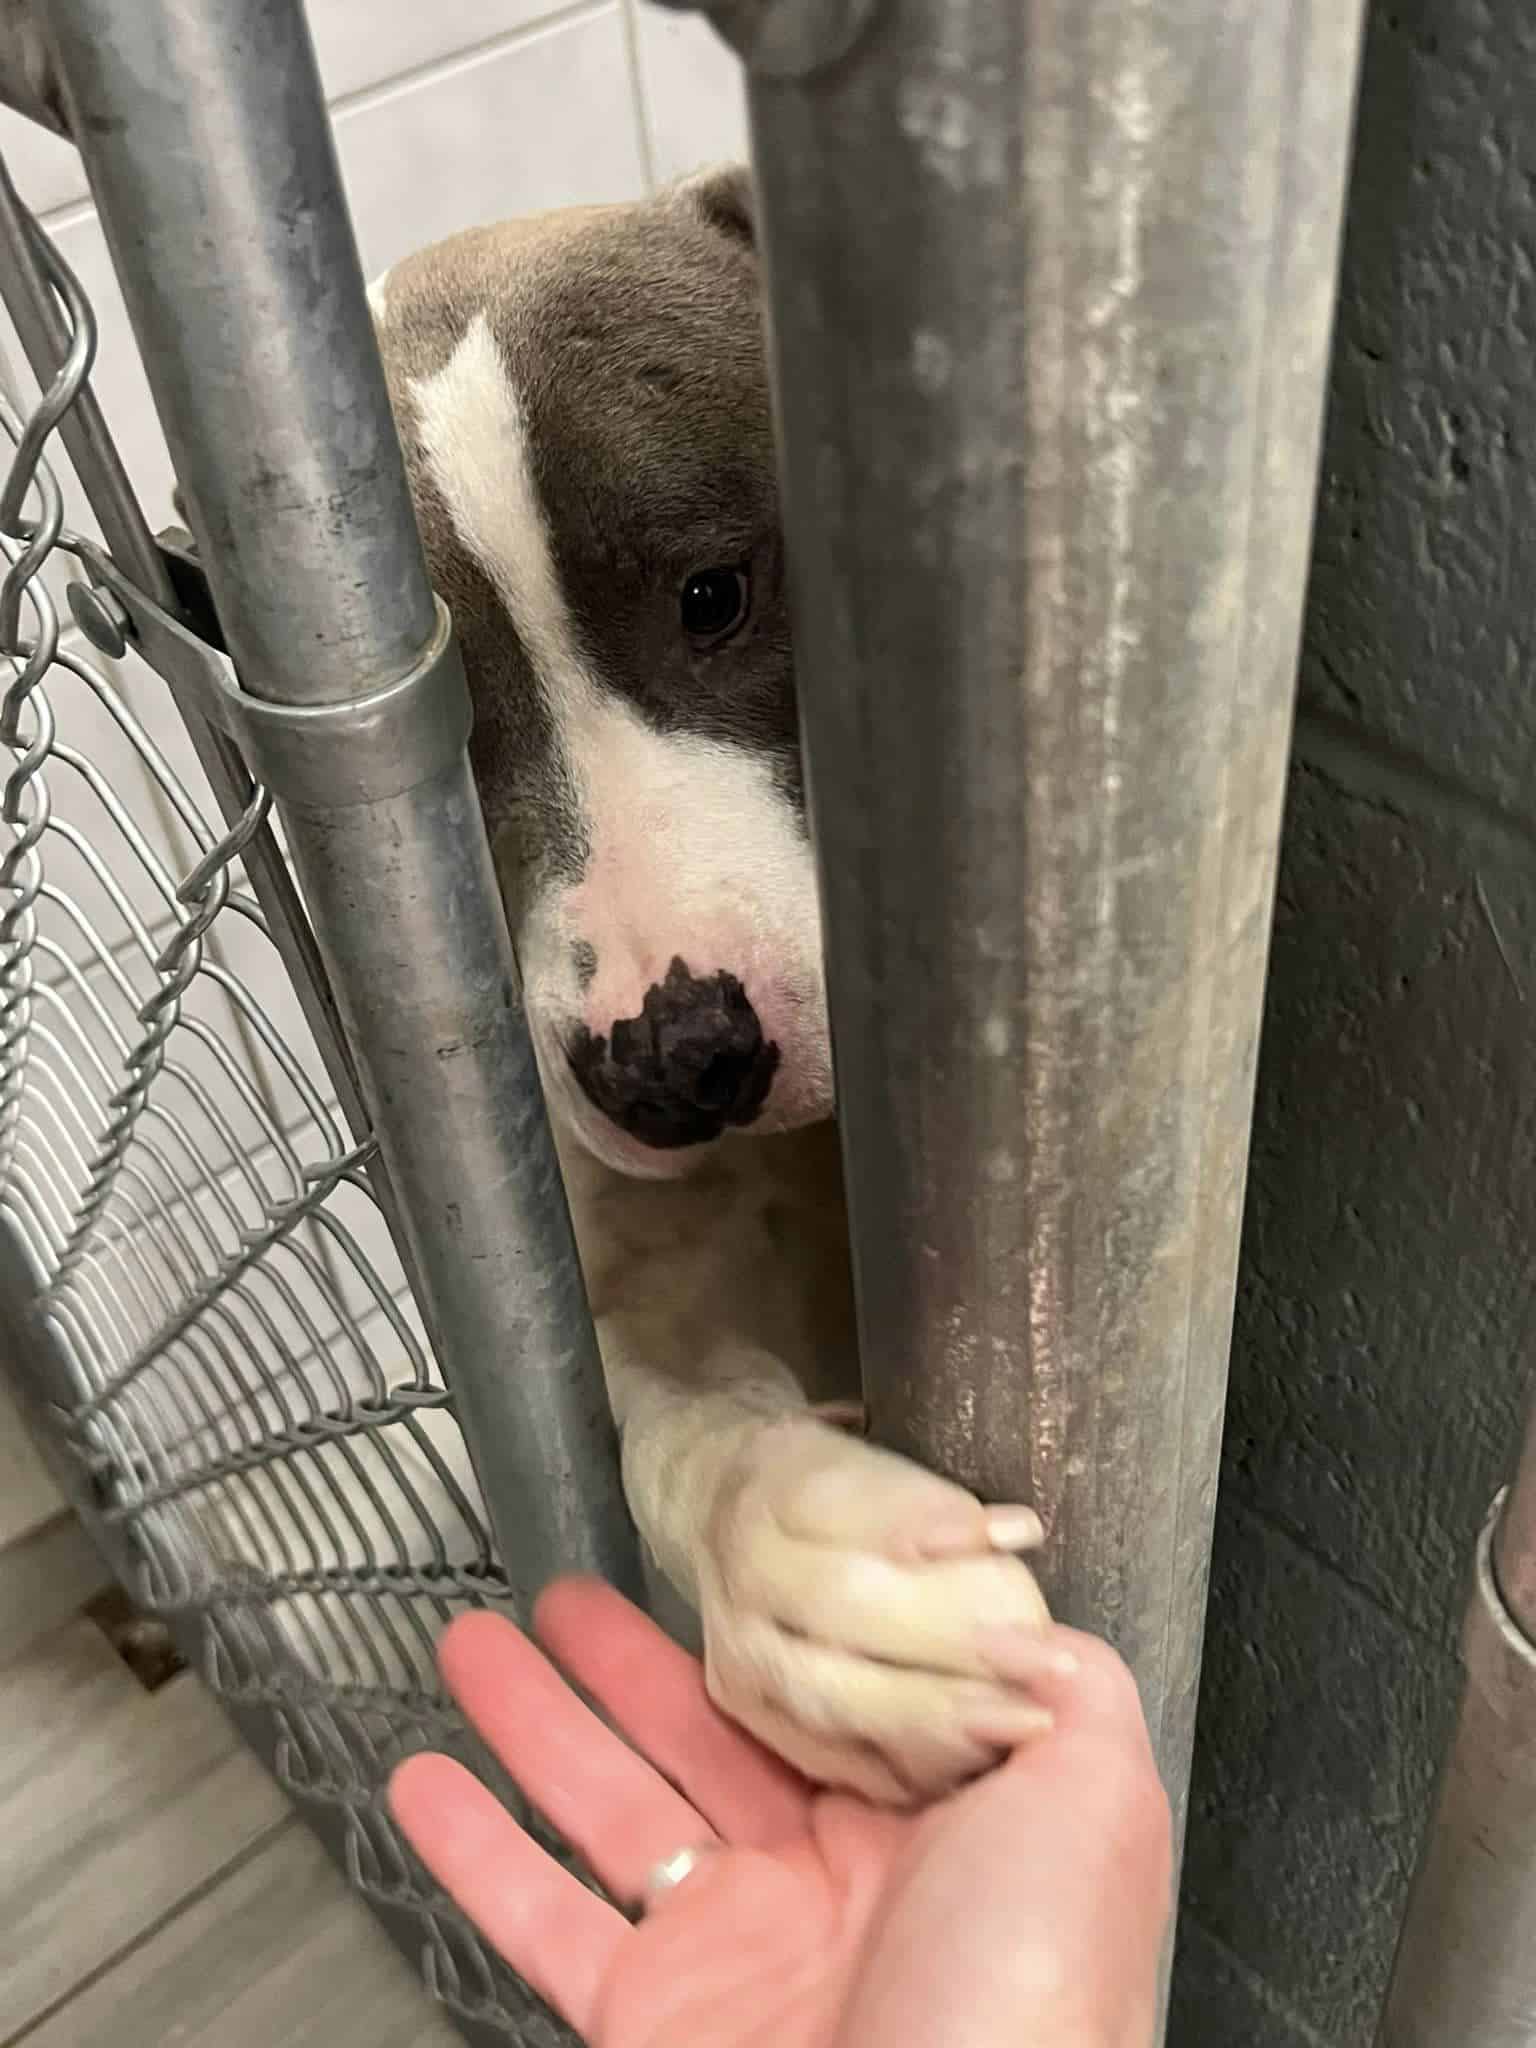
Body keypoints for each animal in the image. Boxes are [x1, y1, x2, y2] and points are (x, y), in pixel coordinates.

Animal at [370, 167, 1056, 1802]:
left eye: (712, 595)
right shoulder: (636, 1279)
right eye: (443, 729)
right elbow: (666, 1428)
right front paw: (824, 1583)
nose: (672, 1056)